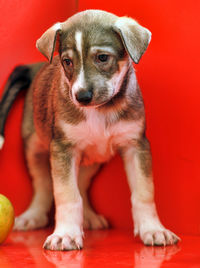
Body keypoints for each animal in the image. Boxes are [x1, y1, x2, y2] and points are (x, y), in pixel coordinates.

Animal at [0, 9, 180, 250]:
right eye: (67, 61)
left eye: (102, 57)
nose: (82, 97)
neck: (101, 111)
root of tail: (35, 67)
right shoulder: (63, 149)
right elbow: (67, 194)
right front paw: (66, 234)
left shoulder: (136, 145)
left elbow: (144, 192)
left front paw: (153, 229)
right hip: (34, 148)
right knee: (44, 185)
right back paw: (33, 216)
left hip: (93, 159)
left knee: (82, 185)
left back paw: (88, 216)